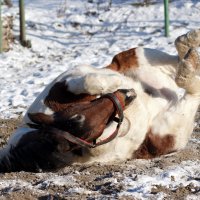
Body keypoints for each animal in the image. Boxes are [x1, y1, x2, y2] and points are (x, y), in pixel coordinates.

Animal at [0, 28, 200, 172]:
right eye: (95, 126)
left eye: (79, 112)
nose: (129, 93)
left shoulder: (59, 86)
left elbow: (84, 80)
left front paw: (113, 81)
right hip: (170, 131)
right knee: (191, 89)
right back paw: (187, 68)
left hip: (137, 55)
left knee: (175, 56)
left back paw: (189, 42)